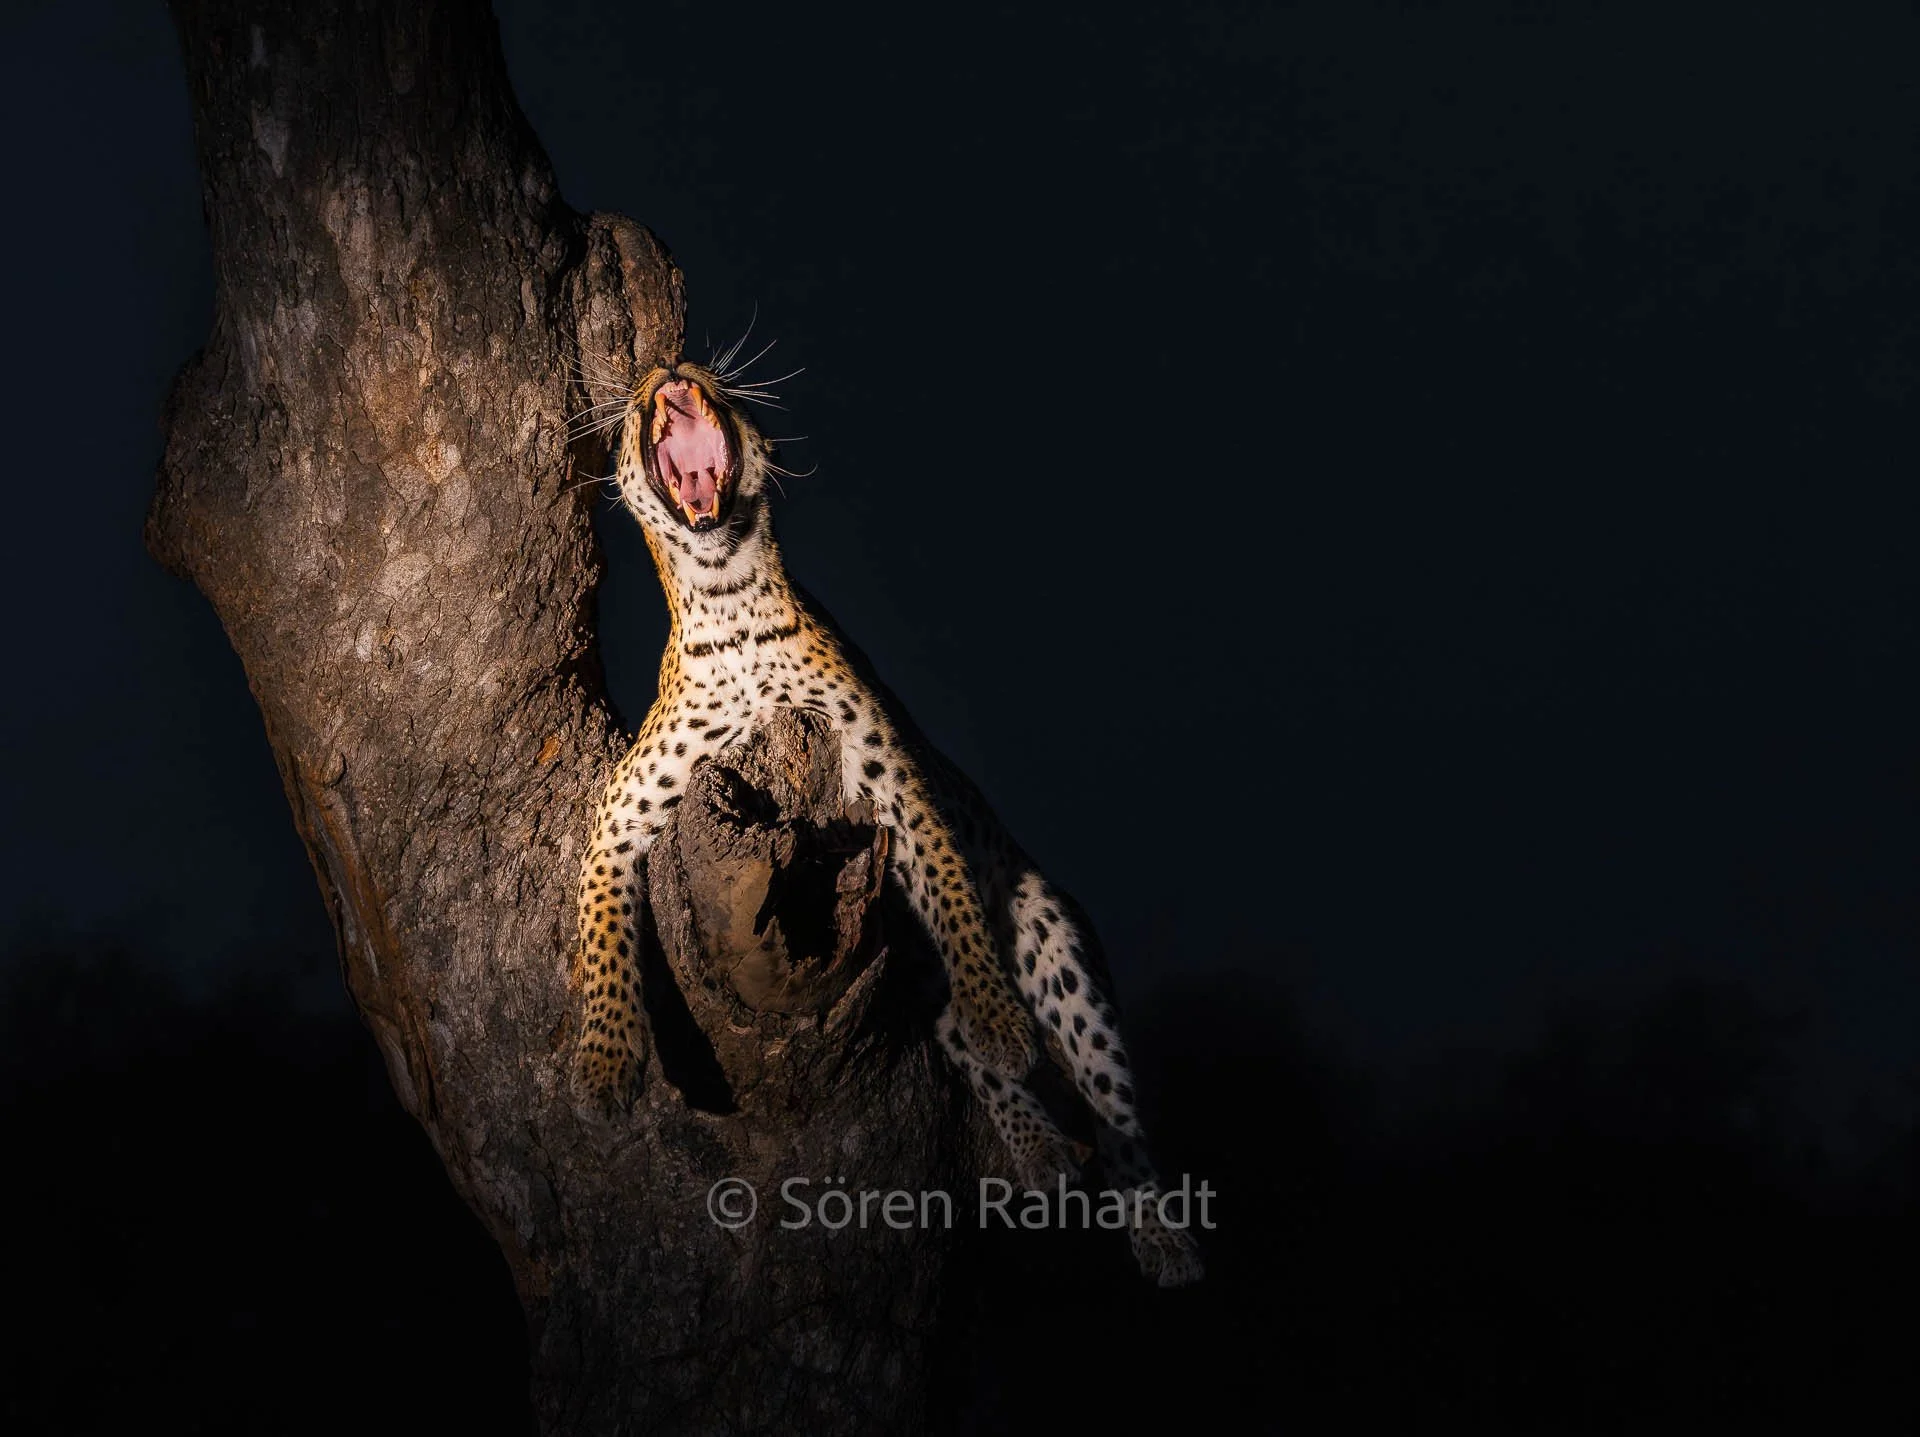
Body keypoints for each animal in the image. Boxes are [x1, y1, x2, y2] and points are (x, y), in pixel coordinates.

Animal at [567, 351, 1203, 1286]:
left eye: (698, 367)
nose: (669, 367)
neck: (728, 600)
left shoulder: (891, 777)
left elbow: (955, 901)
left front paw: (1001, 1015)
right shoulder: (621, 818)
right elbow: (603, 948)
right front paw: (606, 1066)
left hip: (1053, 933)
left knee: (1112, 1104)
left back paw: (1158, 1229)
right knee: (963, 1053)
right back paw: (1039, 1145)